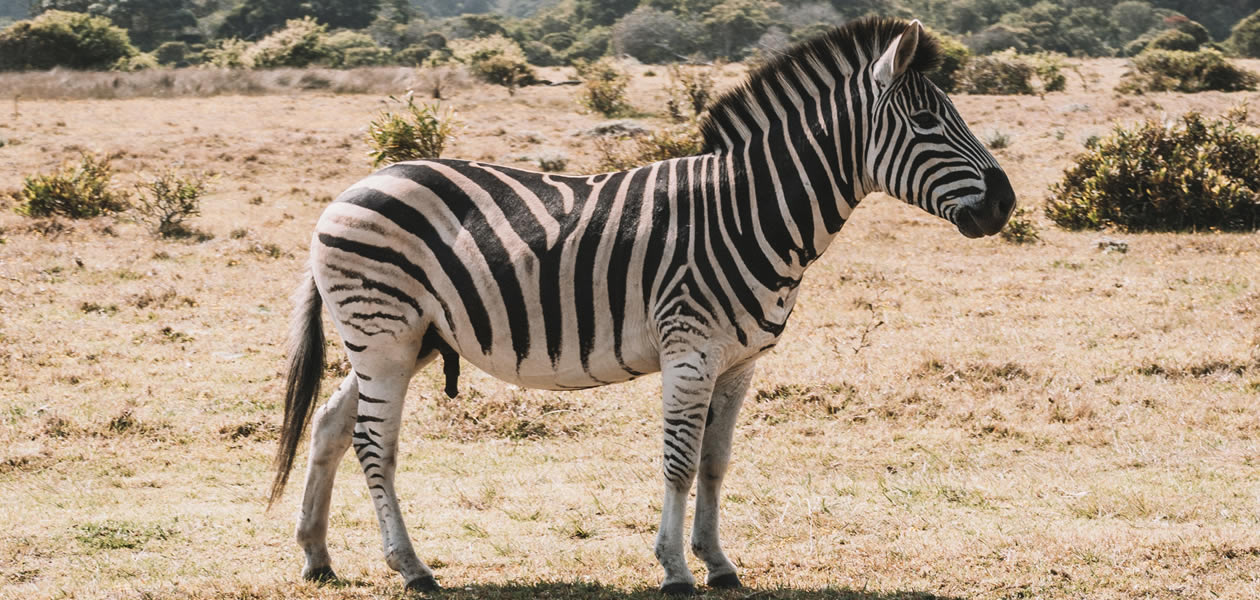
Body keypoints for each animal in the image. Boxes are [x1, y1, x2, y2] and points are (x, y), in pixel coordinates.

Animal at [265, 15, 1013, 594]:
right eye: (927, 120)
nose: (1005, 204)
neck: (747, 213)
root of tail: (353, 188)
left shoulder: (739, 363)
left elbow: (714, 462)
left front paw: (719, 565)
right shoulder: (690, 349)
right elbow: (678, 462)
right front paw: (675, 570)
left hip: (409, 336)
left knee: (331, 425)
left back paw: (317, 557)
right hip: (384, 331)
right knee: (373, 441)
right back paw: (412, 568)